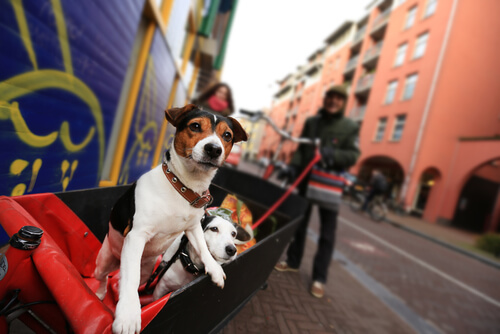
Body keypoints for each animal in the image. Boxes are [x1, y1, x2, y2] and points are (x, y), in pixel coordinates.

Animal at [93, 104, 247, 334]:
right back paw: (102, 292)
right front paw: (128, 314)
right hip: (105, 259)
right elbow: (130, 281)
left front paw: (214, 268)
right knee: (105, 277)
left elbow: (203, 248)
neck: (183, 188)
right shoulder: (136, 236)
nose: (214, 149)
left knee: (126, 277)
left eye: (227, 135)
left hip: (146, 269)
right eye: (195, 126)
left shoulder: (193, 228)